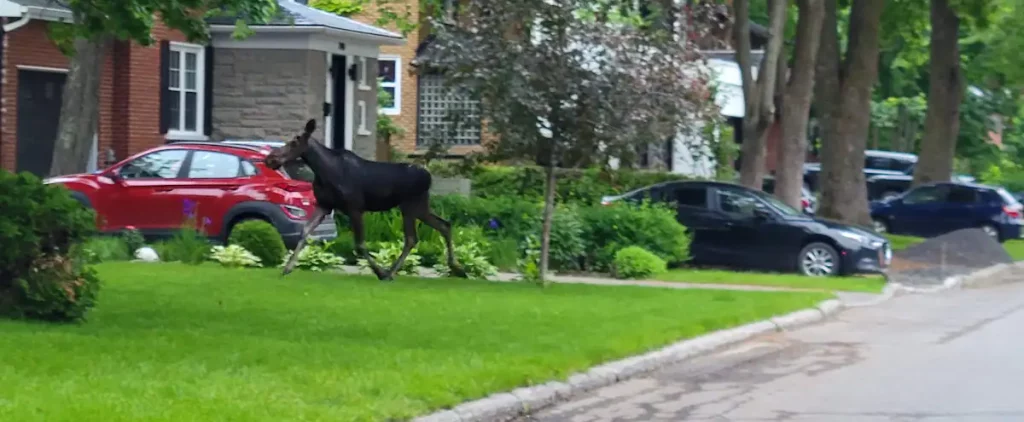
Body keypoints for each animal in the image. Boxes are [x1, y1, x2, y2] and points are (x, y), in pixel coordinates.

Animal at [266, 118, 468, 280]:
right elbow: (305, 232)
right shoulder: (325, 205)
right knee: (444, 225)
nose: (270, 158)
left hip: (410, 206)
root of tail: (429, 176)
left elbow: (360, 245)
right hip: (419, 207)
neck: (322, 171)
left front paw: (379, 272)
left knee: (412, 238)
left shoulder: (355, 208)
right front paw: (287, 268)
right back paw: (457, 268)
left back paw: (391, 272)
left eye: (294, 142)